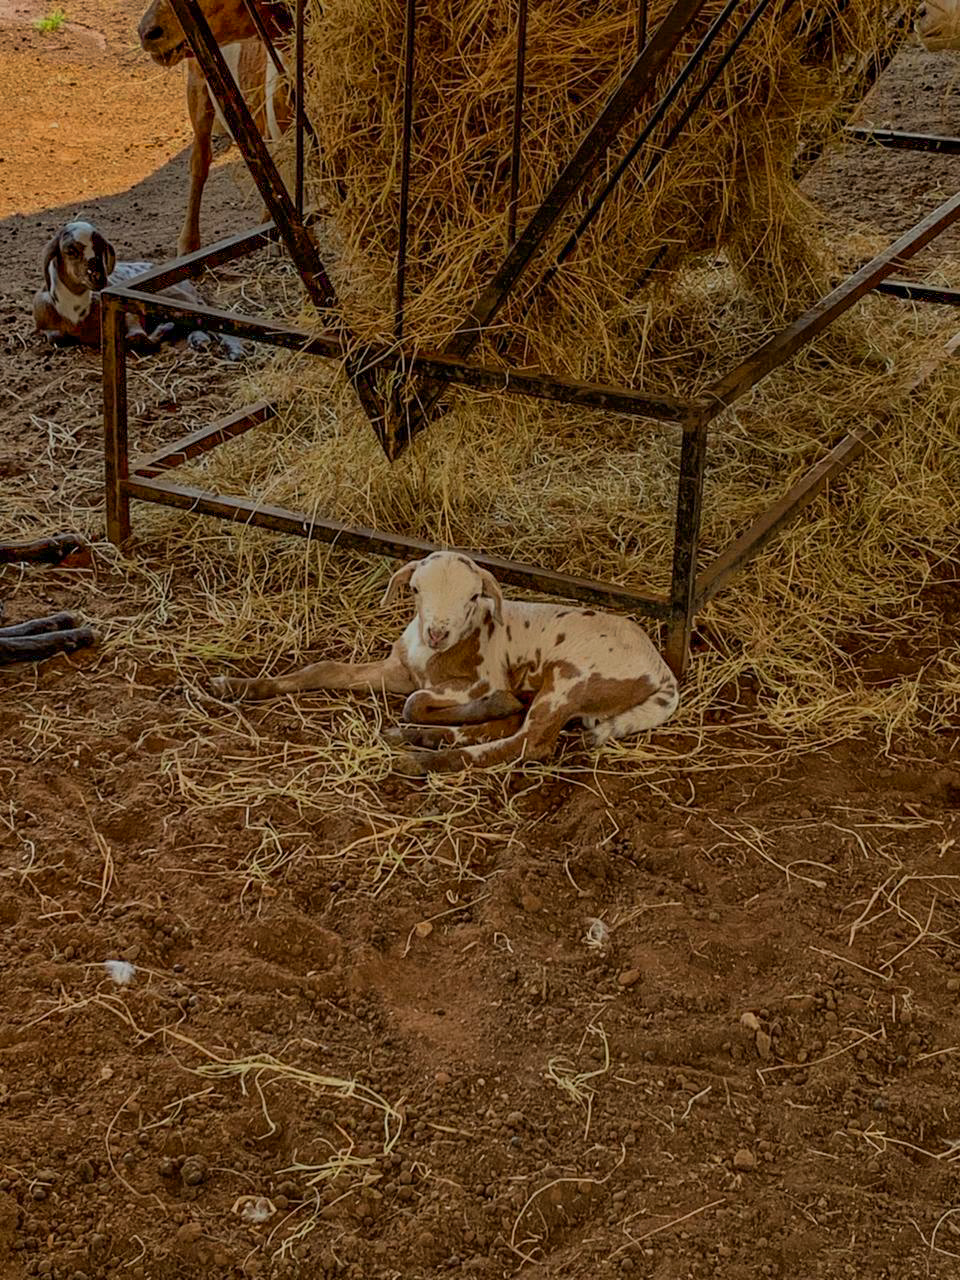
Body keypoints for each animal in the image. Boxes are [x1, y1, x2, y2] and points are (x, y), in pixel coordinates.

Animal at [33, 220, 244, 357]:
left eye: (101, 247)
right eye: (70, 251)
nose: (99, 278)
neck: (75, 311)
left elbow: (137, 337)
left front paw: (163, 329)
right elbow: (57, 337)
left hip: (172, 294)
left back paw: (234, 350)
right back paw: (199, 340)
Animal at [210, 551, 679, 774]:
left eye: (473, 596)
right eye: (415, 589)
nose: (437, 632)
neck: (431, 654)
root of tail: (661, 671)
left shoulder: (477, 681)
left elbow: (417, 700)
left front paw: (493, 704)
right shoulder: (399, 670)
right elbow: (325, 670)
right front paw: (238, 686)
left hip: (572, 675)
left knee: (528, 742)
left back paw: (425, 760)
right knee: (514, 730)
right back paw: (421, 738)